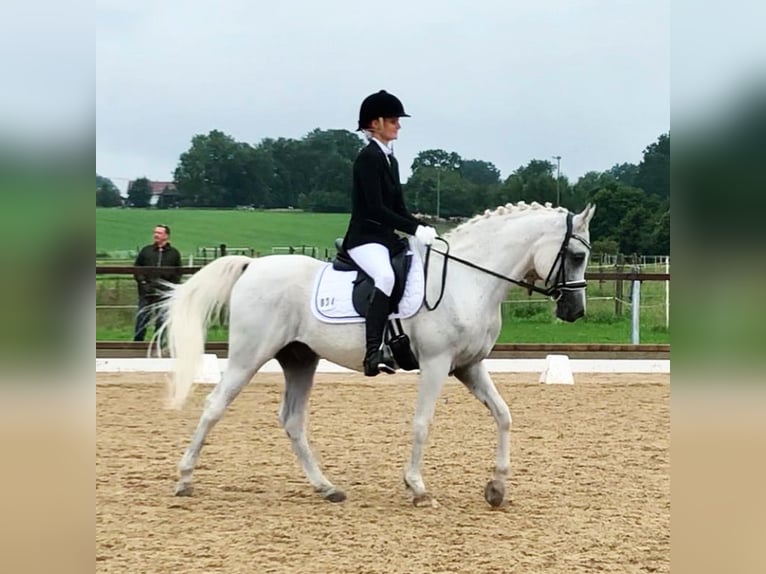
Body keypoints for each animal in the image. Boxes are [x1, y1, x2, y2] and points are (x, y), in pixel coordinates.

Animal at [156, 201, 595, 508]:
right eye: (576, 256)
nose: (575, 312)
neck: (469, 279)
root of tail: (252, 266)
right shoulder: (436, 364)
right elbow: (422, 423)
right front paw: (417, 488)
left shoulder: (468, 366)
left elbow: (504, 415)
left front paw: (497, 488)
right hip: (250, 355)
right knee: (214, 406)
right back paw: (184, 480)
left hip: (300, 358)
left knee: (293, 420)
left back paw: (327, 488)